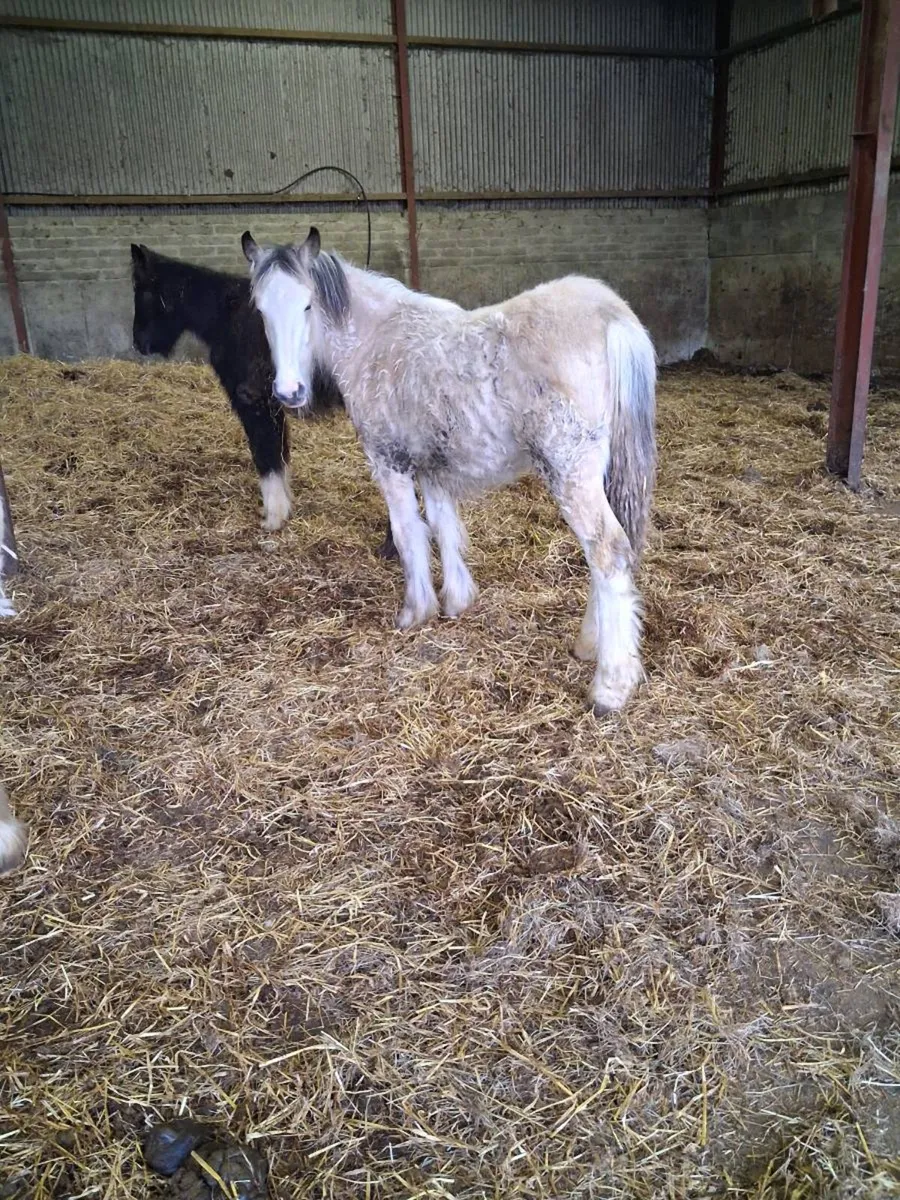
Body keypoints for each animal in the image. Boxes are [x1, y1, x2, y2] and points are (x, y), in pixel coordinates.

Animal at [130, 245, 396, 556]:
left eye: (144, 290)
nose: (139, 343)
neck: (228, 316)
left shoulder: (253, 402)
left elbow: (266, 458)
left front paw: (273, 518)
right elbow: (278, 455)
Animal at [241, 227, 657, 714]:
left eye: (308, 305)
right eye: (260, 309)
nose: (289, 392)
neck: (377, 342)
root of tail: (611, 316)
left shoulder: (390, 462)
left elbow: (409, 533)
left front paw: (414, 612)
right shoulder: (433, 469)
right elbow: (443, 527)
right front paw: (456, 602)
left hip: (572, 475)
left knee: (607, 553)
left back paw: (610, 685)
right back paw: (590, 645)